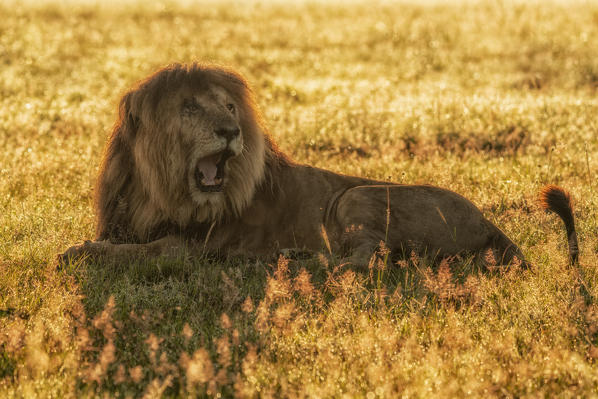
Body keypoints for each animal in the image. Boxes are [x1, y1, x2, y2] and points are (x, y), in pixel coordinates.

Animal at [58, 62, 580, 268]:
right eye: (190, 107)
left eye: (228, 107)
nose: (231, 131)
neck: (158, 189)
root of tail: (490, 222)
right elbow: (118, 242)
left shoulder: (193, 247)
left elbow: (143, 250)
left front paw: (76, 253)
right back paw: (292, 256)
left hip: (355, 194)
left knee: (367, 261)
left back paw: (296, 262)